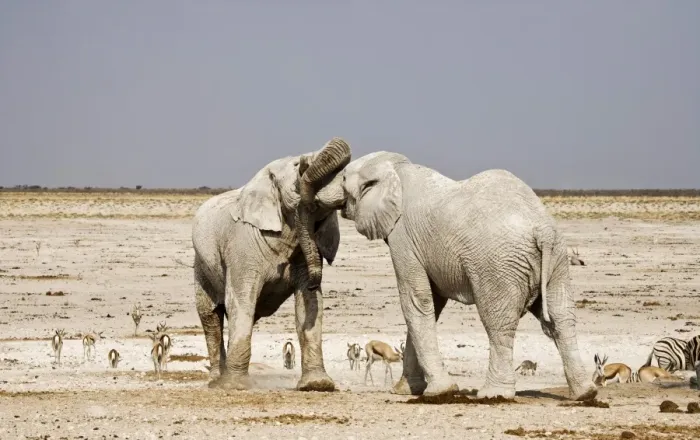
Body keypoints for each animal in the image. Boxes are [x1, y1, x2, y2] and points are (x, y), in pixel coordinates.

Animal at [191, 138, 351, 391]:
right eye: (298, 166)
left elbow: (309, 305)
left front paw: (317, 385)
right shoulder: (242, 246)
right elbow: (242, 301)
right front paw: (236, 386)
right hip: (201, 266)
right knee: (211, 316)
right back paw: (217, 381)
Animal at [336, 151, 597, 401]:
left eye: (343, 178)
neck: (397, 169)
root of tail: (542, 231)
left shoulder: (403, 238)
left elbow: (417, 301)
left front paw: (440, 392)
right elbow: (432, 304)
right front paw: (407, 390)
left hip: (498, 264)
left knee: (499, 323)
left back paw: (494, 394)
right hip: (558, 261)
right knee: (562, 318)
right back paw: (585, 393)